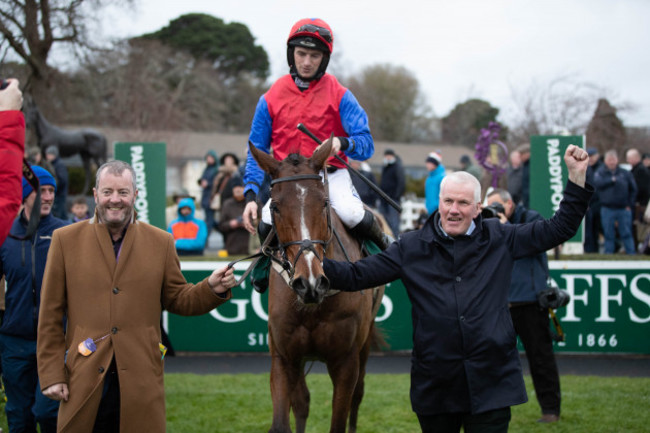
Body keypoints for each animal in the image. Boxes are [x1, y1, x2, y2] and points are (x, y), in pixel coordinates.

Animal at [247, 138, 380, 432]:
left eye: (324, 202)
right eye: (275, 207)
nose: (310, 282)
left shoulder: (346, 361)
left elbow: (340, 419)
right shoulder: (284, 357)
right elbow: (283, 421)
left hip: (364, 344)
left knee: (358, 395)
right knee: (303, 402)